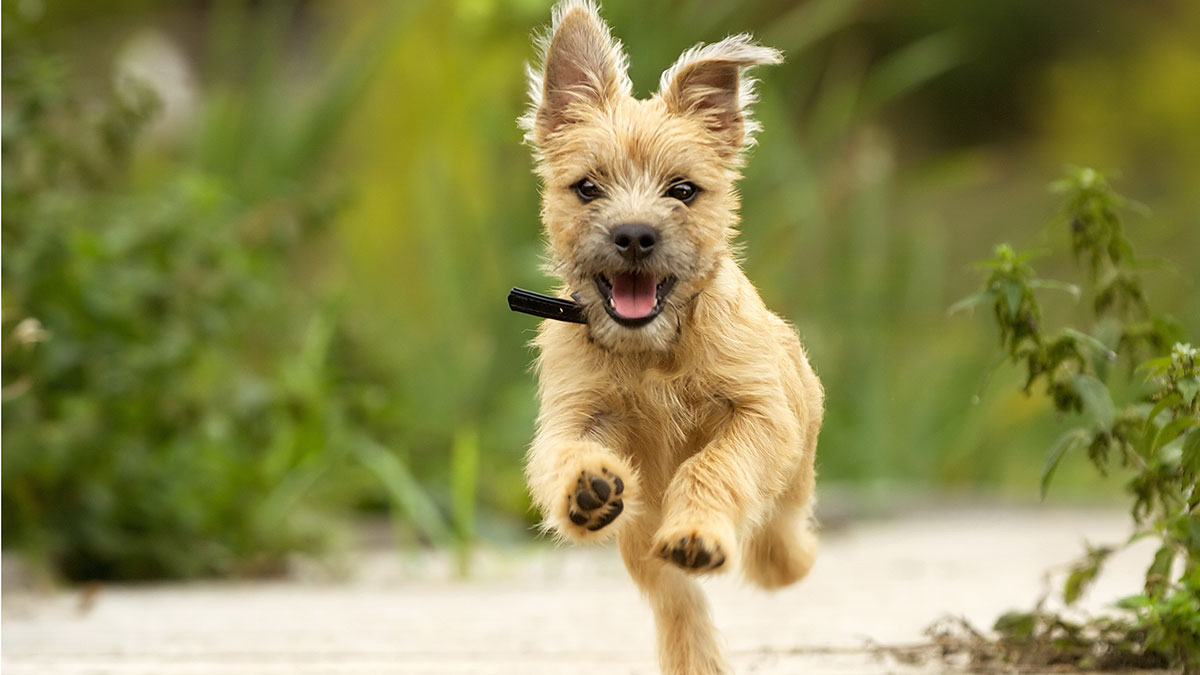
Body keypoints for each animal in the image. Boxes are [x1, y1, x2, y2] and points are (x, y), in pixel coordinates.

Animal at [516, 2, 825, 667]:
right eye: (587, 187)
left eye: (683, 190)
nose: (634, 235)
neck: (652, 351)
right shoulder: (575, 414)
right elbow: (561, 454)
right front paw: (585, 487)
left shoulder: (759, 414)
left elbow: (713, 465)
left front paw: (699, 529)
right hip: (640, 543)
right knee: (678, 603)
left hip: (795, 460)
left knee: (780, 532)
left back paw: (772, 557)